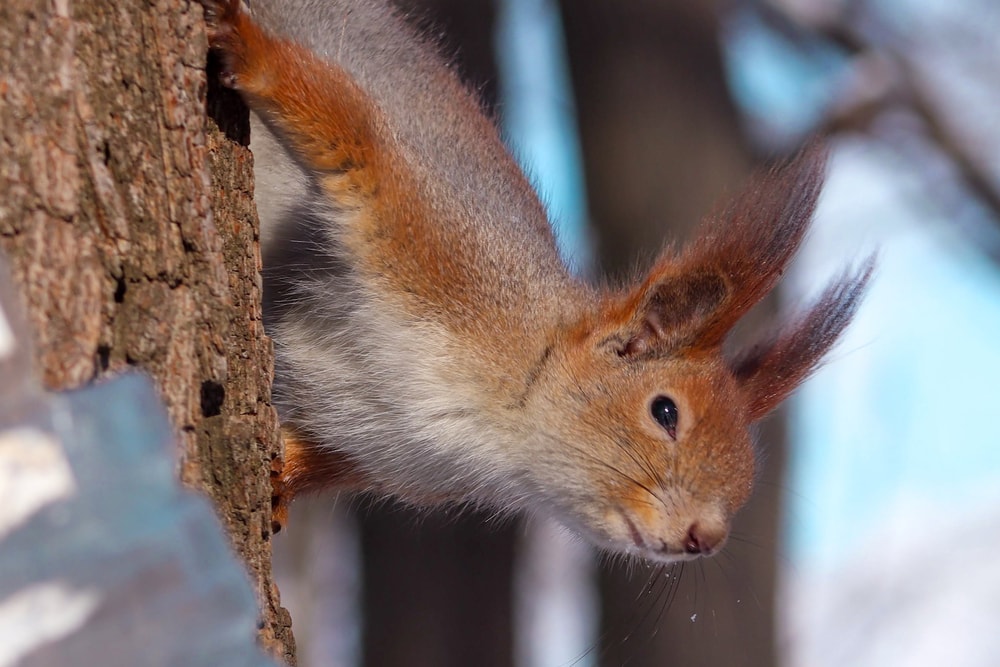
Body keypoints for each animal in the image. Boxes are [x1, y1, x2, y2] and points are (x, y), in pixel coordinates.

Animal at [200, 0, 873, 563]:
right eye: (664, 411)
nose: (704, 538)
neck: (504, 428)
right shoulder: (434, 237)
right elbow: (350, 132)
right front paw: (246, 44)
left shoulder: (375, 450)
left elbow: (308, 455)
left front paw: (277, 483)